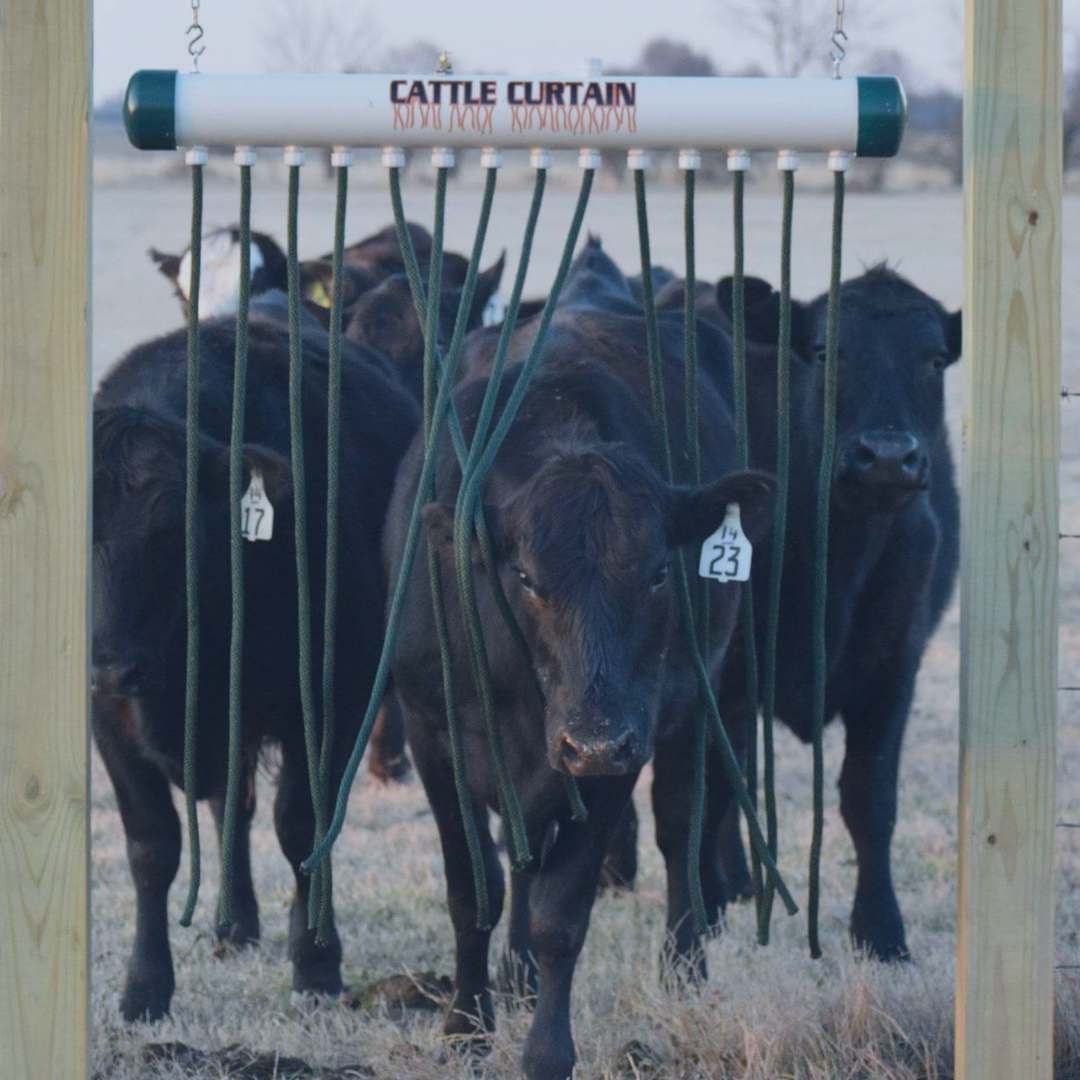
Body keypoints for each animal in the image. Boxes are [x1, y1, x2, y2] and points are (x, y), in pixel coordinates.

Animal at [92, 302, 420, 1022]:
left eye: (174, 530)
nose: (108, 667)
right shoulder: (109, 723)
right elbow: (152, 847)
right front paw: (145, 988)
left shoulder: (329, 701)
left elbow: (301, 827)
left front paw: (317, 963)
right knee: (227, 809)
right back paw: (233, 923)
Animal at [385, 237, 775, 1080]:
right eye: (526, 577)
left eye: (659, 571)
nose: (590, 738)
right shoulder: (431, 730)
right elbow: (473, 888)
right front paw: (467, 1023)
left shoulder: (623, 742)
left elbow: (562, 912)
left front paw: (547, 1050)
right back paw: (515, 978)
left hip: (692, 706)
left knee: (680, 832)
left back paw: (682, 972)